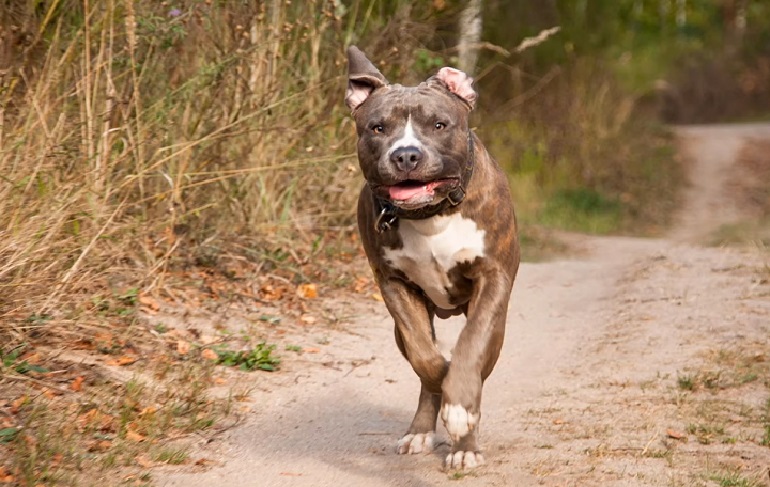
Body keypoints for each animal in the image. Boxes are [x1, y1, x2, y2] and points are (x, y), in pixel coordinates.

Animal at [344, 47, 520, 470]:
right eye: (377, 128)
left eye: (439, 124)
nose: (406, 155)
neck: (431, 215)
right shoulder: (393, 285)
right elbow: (426, 358)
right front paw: (444, 386)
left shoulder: (492, 279)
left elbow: (471, 348)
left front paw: (460, 410)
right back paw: (422, 429)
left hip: (499, 325)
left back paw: (464, 444)